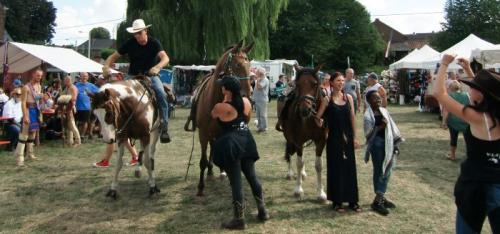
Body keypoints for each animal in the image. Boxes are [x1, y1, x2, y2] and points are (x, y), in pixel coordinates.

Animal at [184, 41, 254, 197]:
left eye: (250, 66)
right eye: (238, 65)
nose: (248, 94)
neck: (214, 99)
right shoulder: (203, 134)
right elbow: (203, 161)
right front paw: (200, 187)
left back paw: (221, 171)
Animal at [278, 65, 328, 201]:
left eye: (315, 84)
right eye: (298, 84)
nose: (305, 109)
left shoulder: (321, 141)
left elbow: (319, 165)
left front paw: (321, 193)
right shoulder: (298, 140)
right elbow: (299, 163)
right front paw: (298, 190)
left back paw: (303, 174)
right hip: (289, 138)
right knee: (290, 153)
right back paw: (290, 173)